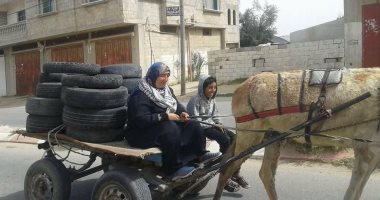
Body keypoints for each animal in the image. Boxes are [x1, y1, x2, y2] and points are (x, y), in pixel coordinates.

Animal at [214, 68, 380, 199]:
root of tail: (242, 88)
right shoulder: (366, 147)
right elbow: (354, 190)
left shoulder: (370, 150)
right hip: (250, 135)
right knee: (226, 169)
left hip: (272, 135)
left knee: (265, 173)